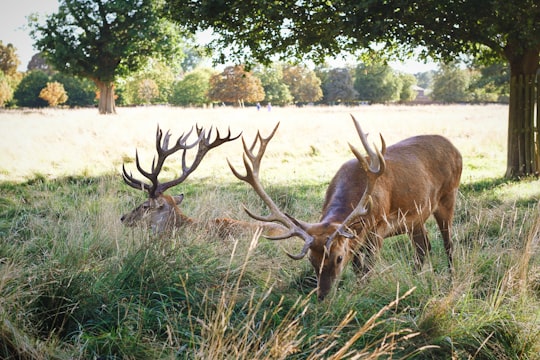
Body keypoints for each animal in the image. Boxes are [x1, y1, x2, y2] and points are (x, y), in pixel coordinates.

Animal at [230, 116, 462, 300]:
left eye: (338, 258)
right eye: (312, 260)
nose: (322, 296)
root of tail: (455, 148)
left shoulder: (378, 227)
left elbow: (367, 269)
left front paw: (361, 292)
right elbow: (359, 268)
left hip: (448, 196)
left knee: (448, 244)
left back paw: (451, 281)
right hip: (416, 218)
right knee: (423, 247)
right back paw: (415, 280)